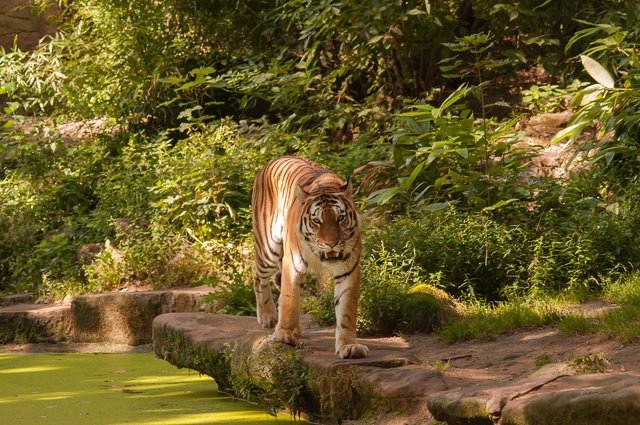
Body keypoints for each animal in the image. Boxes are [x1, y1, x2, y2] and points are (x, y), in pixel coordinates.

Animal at [251, 156, 369, 359]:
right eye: (317, 221)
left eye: (340, 218)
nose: (331, 243)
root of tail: (270, 162)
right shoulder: (291, 264)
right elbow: (290, 299)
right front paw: (284, 335)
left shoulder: (348, 270)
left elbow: (346, 311)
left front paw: (349, 346)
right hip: (268, 248)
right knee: (258, 275)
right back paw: (268, 317)